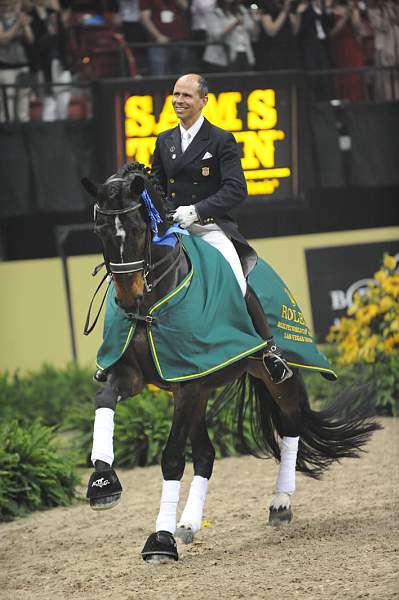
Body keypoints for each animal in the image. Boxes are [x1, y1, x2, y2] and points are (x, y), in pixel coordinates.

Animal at [82, 163, 382, 564]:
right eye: (99, 231)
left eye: (137, 229)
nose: (128, 299)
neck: (154, 301)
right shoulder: (143, 375)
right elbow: (104, 398)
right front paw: (103, 484)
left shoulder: (189, 383)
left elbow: (172, 457)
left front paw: (160, 541)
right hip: (195, 388)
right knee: (207, 454)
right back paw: (189, 523)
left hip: (272, 374)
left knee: (291, 423)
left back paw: (280, 503)